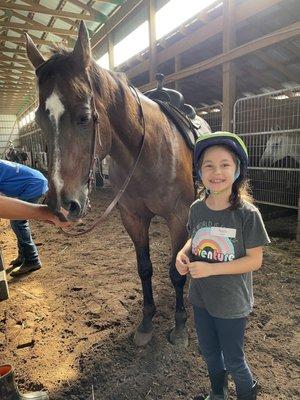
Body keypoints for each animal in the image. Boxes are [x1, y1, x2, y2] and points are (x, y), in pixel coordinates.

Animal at [25, 21, 211, 346]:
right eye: (39, 119)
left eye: (85, 117)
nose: (62, 205)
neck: (148, 151)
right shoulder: (133, 218)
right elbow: (145, 268)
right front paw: (146, 323)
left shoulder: (177, 217)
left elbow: (176, 273)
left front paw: (178, 327)